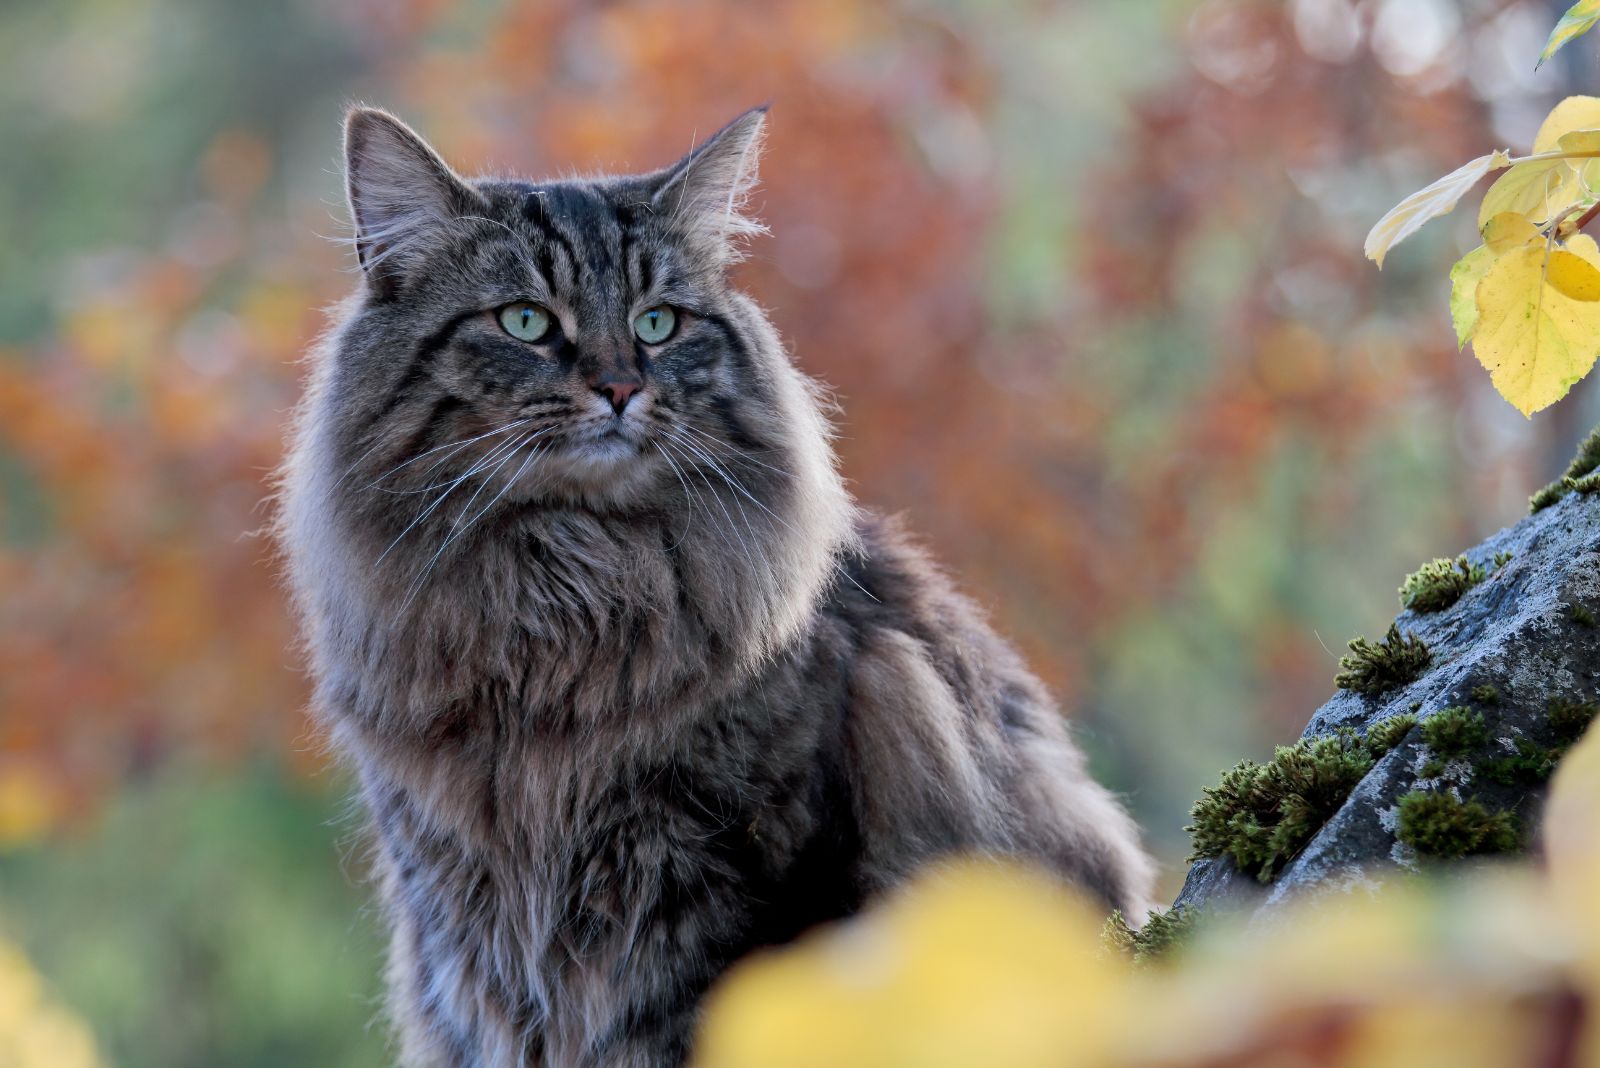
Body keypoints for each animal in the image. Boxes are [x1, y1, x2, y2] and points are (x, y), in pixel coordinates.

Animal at [275, 102, 1152, 1068]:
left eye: (658, 323)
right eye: (526, 322)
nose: (621, 387)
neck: (568, 613)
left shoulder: (738, 885)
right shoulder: (462, 926)